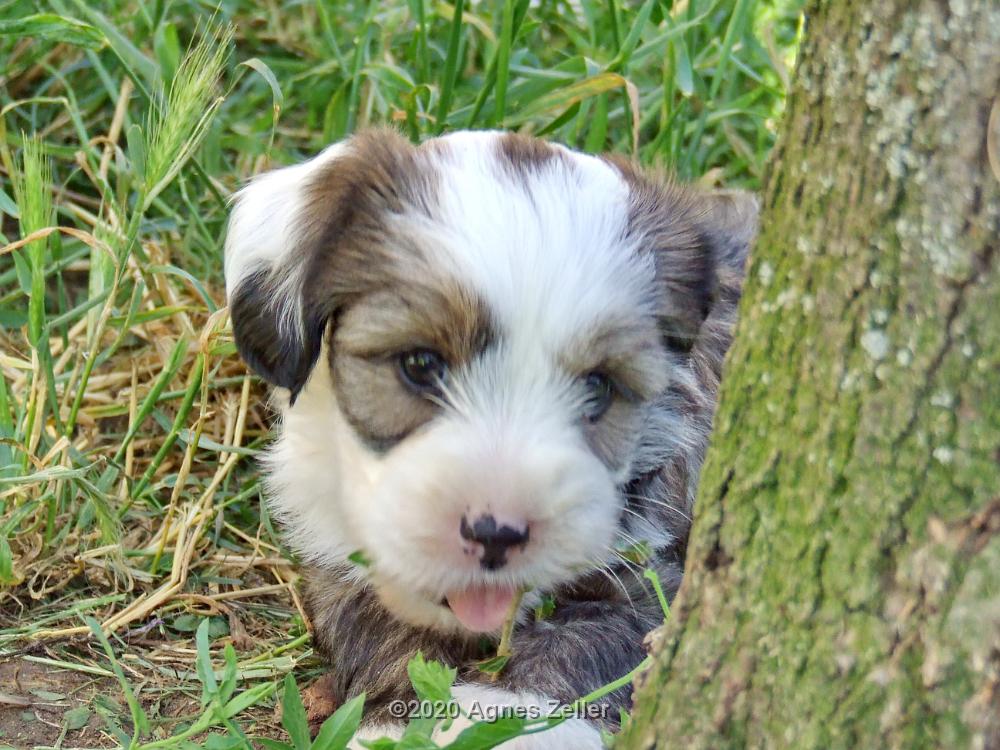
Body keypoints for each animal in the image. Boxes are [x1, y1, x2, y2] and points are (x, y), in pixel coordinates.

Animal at [225, 129, 756, 748]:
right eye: (420, 364)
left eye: (598, 387)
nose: (495, 534)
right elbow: (382, 630)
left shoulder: (662, 573)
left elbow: (584, 642)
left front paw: (497, 720)